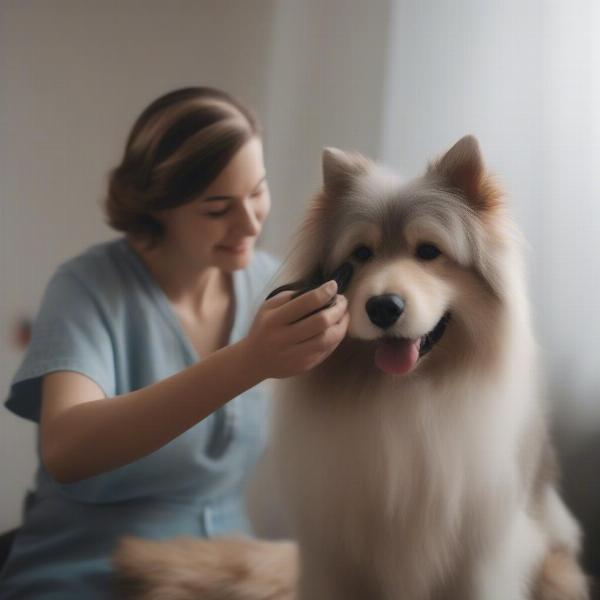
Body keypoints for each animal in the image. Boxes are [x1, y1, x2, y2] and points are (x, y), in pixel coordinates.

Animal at [115, 136, 588, 600]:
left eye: (429, 251)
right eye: (361, 253)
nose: (383, 306)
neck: (406, 393)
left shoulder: (478, 557)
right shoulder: (335, 552)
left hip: (557, 571)